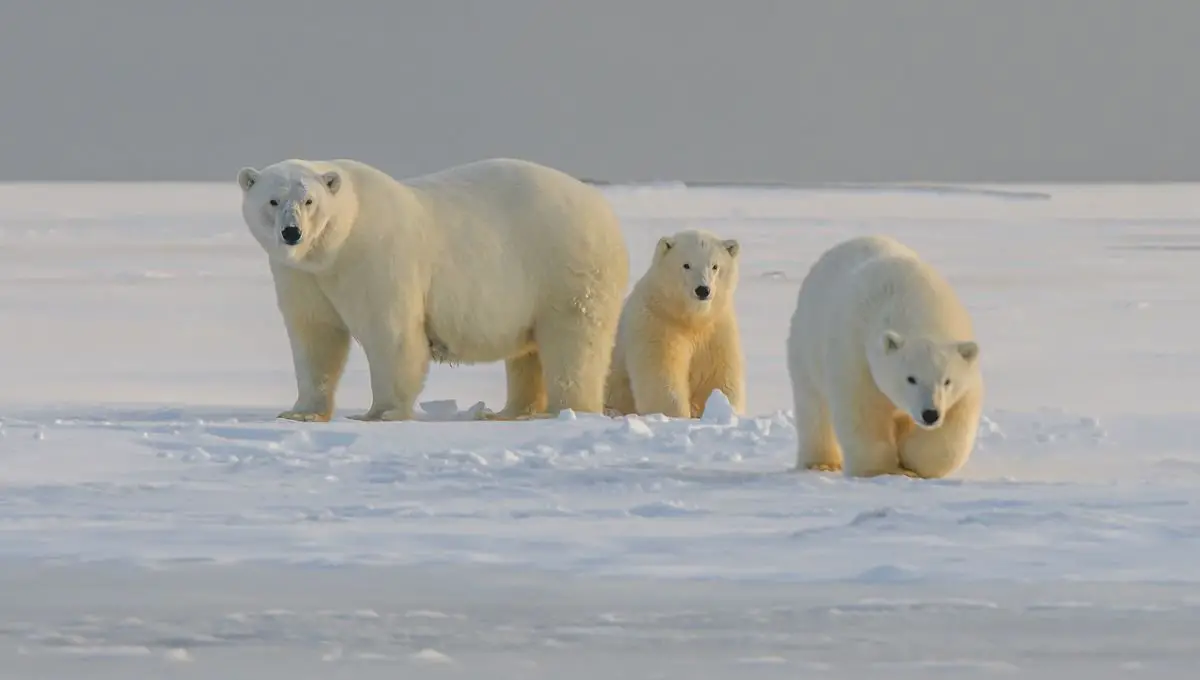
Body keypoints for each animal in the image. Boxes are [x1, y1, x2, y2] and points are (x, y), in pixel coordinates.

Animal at [234, 157, 628, 422]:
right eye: (272, 200)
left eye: (309, 201)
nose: (292, 232)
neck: (336, 245)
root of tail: (604, 210)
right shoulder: (302, 276)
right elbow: (315, 336)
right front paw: (301, 413)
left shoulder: (376, 258)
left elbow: (390, 333)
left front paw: (381, 413)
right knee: (527, 353)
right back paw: (509, 412)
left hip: (565, 268)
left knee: (573, 342)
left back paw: (568, 410)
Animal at [787, 236, 984, 482]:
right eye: (911, 378)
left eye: (947, 380)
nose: (930, 414)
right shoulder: (856, 356)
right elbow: (863, 413)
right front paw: (881, 470)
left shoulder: (965, 382)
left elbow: (952, 429)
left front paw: (911, 460)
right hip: (806, 344)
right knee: (813, 406)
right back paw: (821, 463)